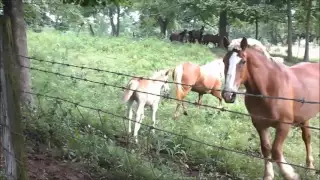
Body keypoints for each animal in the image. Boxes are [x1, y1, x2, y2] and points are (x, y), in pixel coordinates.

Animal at [221, 37, 318, 180]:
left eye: (243, 61)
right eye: (224, 61)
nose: (228, 94)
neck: (269, 88)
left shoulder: (284, 125)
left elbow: (276, 151)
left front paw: (290, 174)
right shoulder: (259, 124)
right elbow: (266, 149)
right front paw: (268, 175)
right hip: (304, 117)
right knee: (307, 138)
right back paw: (310, 167)